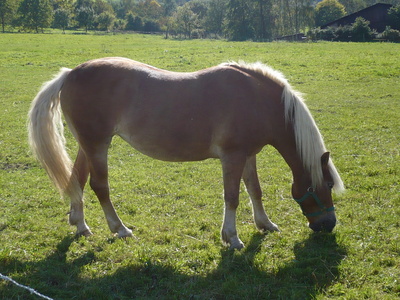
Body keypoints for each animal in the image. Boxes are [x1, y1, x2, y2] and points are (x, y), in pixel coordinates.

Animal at [28, 57, 344, 250]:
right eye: (327, 185)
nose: (329, 226)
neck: (256, 100)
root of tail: (70, 74)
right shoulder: (233, 156)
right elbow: (232, 197)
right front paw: (232, 238)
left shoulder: (248, 155)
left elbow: (255, 190)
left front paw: (265, 224)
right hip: (97, 144)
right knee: (99, 185)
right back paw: (120, 228)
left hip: (88, 144)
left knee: (77, 180)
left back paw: (80, 225)